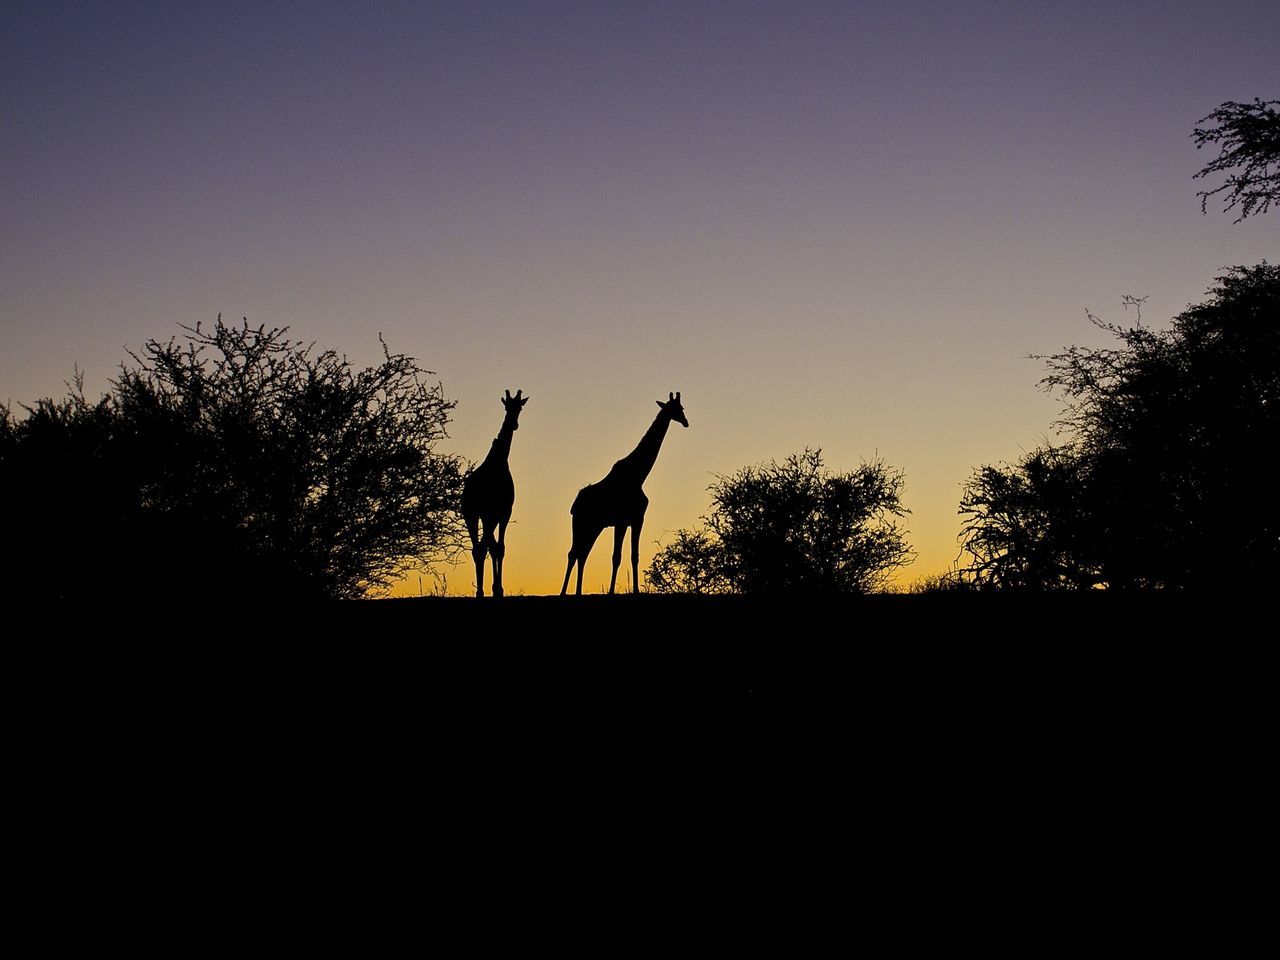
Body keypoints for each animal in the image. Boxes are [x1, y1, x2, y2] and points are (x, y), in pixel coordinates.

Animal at [463, 386, 527, 599]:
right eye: (507, 406)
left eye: (519, 408)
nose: (514, 424)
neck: (499, 460)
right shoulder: (501, 511)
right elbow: (497, 548)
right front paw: (498, 589)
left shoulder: (497, 513)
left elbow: (496, 547)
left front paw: (496, 588)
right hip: (478, 515)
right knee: (483, 547)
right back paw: (484, 590)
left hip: (477, 515)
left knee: (480, 548)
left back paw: (482, 591)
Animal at [555, 391, 686, 593]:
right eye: (677, 409)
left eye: (682, 408)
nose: (686, 422)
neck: (639, 476)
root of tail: (574, 506)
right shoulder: (625, 521)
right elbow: (618, 557)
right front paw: (613, 591)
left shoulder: (634, 520)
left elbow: (633, 555)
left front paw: (635, 590)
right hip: (581, 523)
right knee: (574, 553)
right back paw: (564, 592)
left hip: (594, 526)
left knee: (581, 553)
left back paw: (577, 592)